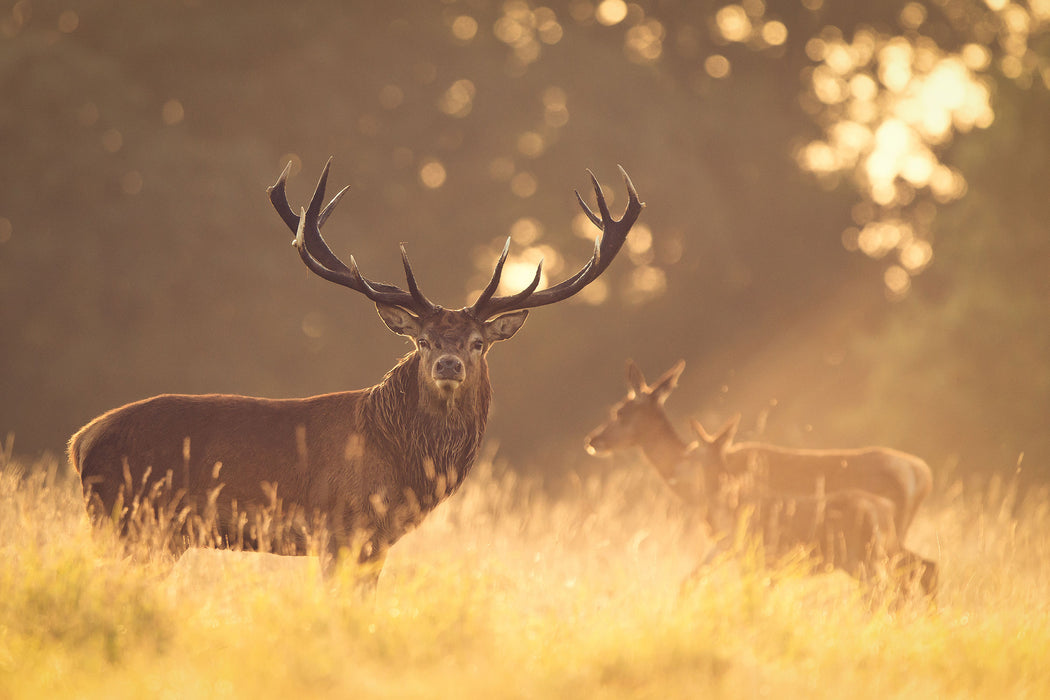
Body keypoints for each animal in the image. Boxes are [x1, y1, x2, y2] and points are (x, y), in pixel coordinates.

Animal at [69, 160, 642, 587]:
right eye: (422, 340)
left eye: (479, 343)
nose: (449, 363)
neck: (402, 464)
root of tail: (80, 441)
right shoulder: (339, 529)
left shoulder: (375, 541)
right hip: (127, 520)